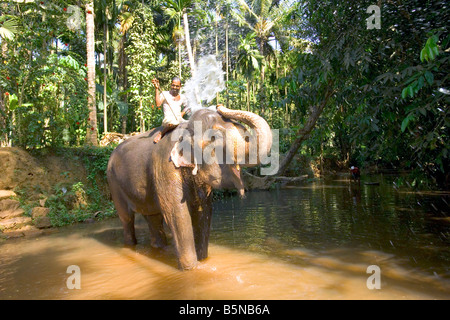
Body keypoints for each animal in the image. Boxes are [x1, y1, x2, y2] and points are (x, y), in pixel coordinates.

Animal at [107, 105, 272, 270]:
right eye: (217, 137)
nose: (219, 106)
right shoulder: (165, 166)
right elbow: (177, 214)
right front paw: (191, 269)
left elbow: (204, 211)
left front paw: (203, 261)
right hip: (113, 182)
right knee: (127, 218)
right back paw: (130, 246)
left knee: (153, 217)